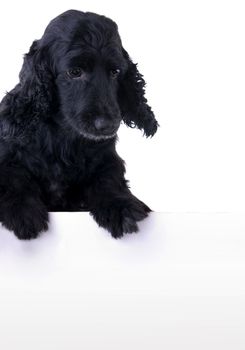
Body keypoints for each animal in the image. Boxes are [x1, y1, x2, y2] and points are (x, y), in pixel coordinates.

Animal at [0, 11, 157, 241]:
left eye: (115, 72)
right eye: (75, 72)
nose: (106, 125)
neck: (64, 137)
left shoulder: (107, 160)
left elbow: (108, 179)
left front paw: (121, 207)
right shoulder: (8, 157)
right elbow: (13, 178)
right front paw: (23, 213)